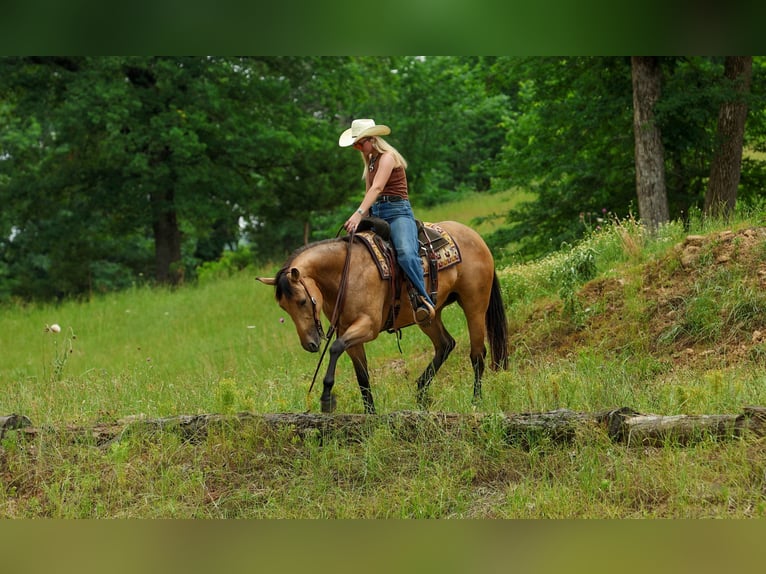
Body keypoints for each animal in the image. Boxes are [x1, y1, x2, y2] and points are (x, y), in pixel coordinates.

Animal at [257, 220, 509, 414]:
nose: (309, 344)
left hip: (474, 304)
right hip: (428, 315)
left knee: (477, 354)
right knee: (445, 344)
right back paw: (420, 393)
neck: (344, 273)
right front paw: (370, 412)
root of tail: (475, 236)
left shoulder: (368, 326)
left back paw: (475, 401)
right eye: (284, 308)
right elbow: (361, 374)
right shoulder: (347, 331)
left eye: (301, 301)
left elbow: (335, 348)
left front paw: (327, 398)